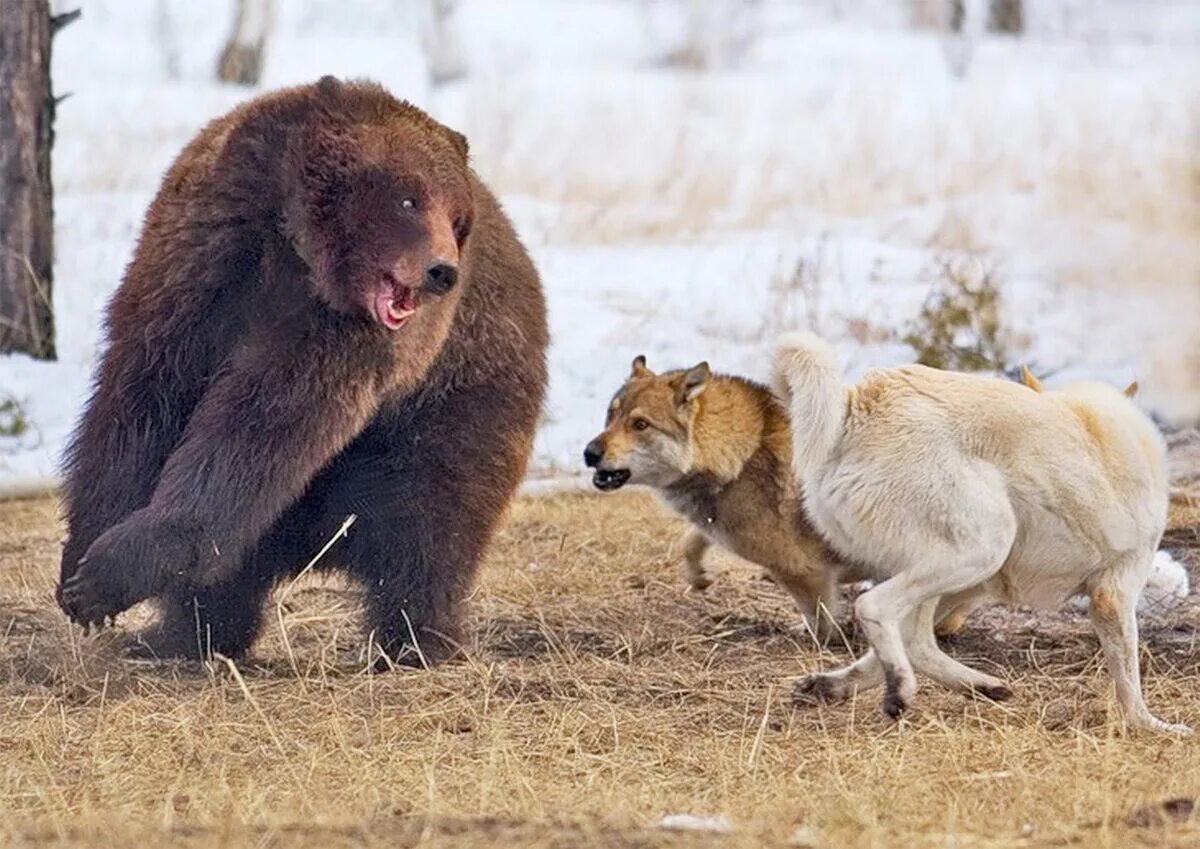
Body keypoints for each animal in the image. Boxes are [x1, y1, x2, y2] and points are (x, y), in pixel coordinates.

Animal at [52, 76, 549, 666]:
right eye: (409, 198)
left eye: (457, 218)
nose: (442, 271)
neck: (294, 245)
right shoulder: (196, 267)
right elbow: (142, 400)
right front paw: (81, 564)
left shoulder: (342, 340)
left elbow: (259, 430)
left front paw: (113, 569)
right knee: (237, 570)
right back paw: (181, 636)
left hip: (456, 400)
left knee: (431, 527)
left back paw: (413, 641)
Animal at [772, 330, 1185, 733]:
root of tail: (856, 404)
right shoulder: (1113, 595)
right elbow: (1129, 682)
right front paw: (1152, 726)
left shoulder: (963, 593)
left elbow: (877, 657)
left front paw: (833, 685)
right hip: (984, 545)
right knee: (873, 608)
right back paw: (903, 688)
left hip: (951, 568)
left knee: (915, 639)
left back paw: (975, 685)